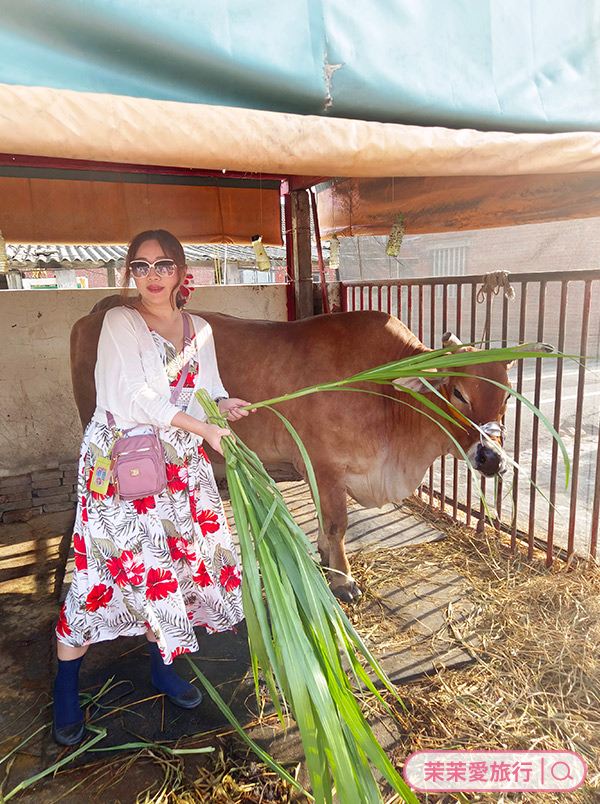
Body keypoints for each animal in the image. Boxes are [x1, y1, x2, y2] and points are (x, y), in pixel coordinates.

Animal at [70, 302, 512, 604]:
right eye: (459, 393)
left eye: (508, 396)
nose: (492, 458)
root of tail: (98, 311)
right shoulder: (324, 466)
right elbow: (337, 523)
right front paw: (342, 579)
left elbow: (326, 526)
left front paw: (325, 557)